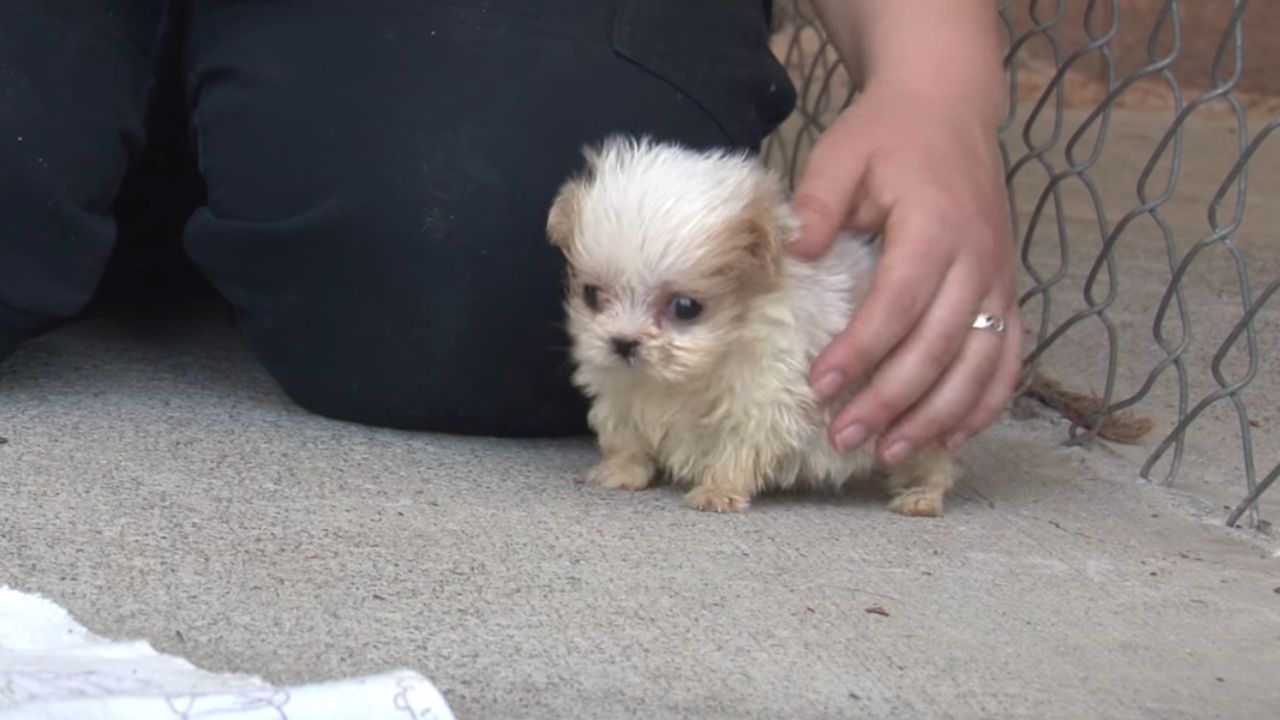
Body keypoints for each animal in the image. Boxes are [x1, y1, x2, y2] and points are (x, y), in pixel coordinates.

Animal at [545, 134, 957, 512]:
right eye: (592, 295)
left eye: (685, 307)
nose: (624, 343)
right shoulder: (621, 390)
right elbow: (625, 434)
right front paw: (622, 471)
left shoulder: (764, 397)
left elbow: (739, 446)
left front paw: (719, 490)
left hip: (912, 419)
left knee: (931, 462)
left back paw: (921, 496)